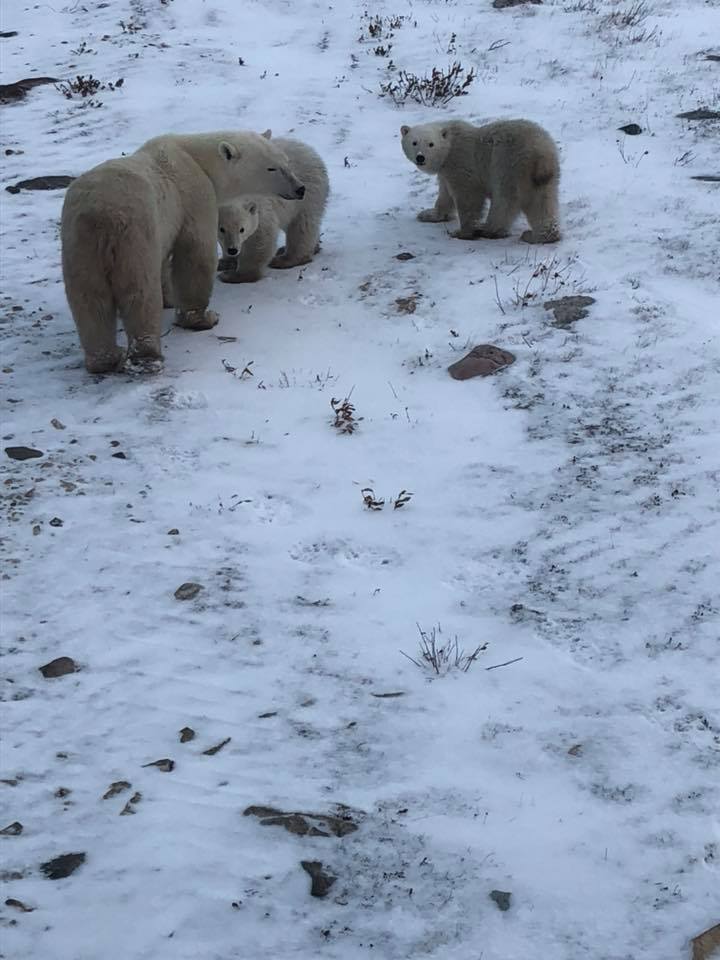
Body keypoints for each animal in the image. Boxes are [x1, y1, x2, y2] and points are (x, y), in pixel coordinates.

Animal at [61, 131, 305, 373]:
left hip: (79, 243)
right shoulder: (194, 196)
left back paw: (105, 359)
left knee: (89, 298)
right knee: (139, 292)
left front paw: (170, 299)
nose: (300, 188)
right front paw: (202, 318)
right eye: (271, 168)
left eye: (286, 161)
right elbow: (195, 254)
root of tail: (101, 215)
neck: (197, 159)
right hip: (135, 234)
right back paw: (147, 357)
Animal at [217, 131, 329, 284]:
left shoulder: (258, 205)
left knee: (301, 226)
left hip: (308, 193)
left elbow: (261, 236)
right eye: (222, 229)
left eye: (242, 229)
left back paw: (285, 259)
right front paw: (225, 262)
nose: (232, 250)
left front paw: (234, 275)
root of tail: (311, 151)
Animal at [400, 119, 561, 244]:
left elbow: (468, 196)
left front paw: (463, 232)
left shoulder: (460, 162)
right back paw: (540, 236)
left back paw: (489, 229)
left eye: (431, 144)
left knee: (505, 199)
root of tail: (541, 152)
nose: (420, 157)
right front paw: (428, 215)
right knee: (542, 202)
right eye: (414, 142)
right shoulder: (446, 170)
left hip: (508, 164)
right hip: (542, 177)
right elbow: (445, 193)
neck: (450, 144)